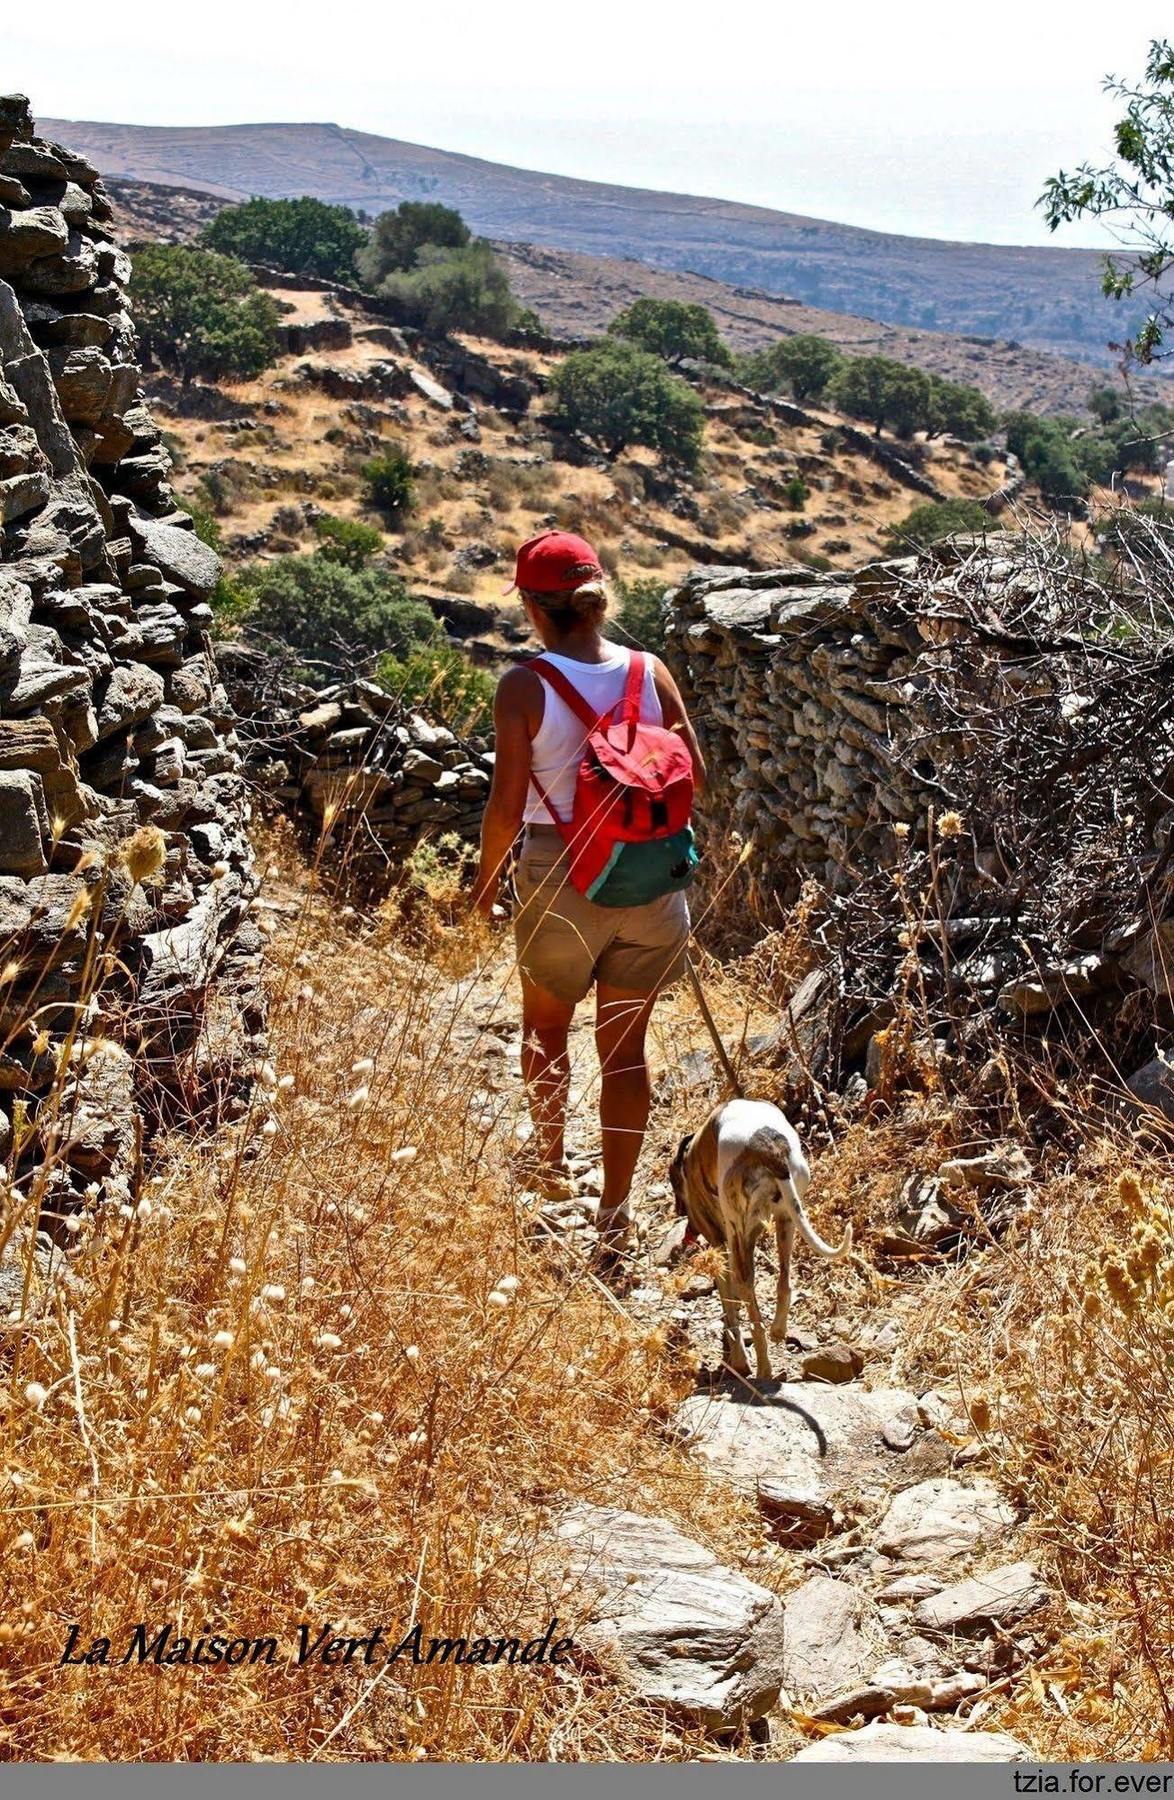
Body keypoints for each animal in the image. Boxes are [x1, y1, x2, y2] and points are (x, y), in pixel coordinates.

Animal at [669, 1094, 853, 1375]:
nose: (682, 1215)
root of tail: (770, 1149)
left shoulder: (720, 1242)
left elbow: (729, 1306)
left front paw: (738, 1358)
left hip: (740, 1230)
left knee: (750, 1302)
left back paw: (763, 1367)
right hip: (786, 1219)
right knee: (784, 1283)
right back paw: (778, 1331)